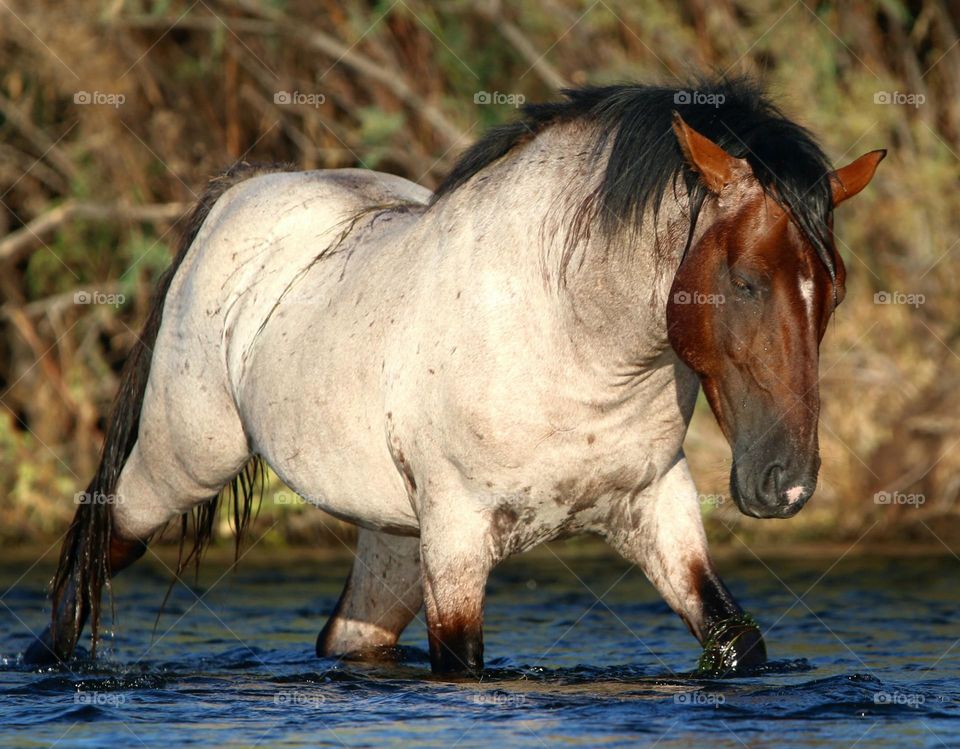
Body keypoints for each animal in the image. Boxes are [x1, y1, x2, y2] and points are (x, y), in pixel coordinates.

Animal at [24, 76, 883, 676]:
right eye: (744, 280)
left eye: (834, 288)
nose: (784, 484)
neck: (573, 342)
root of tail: (243, 189)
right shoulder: (462, 535)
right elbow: (462, 664)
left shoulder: (654, 506)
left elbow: (737, 641)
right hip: (184, 463)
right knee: (99, 545)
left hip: (392, 536)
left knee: (348, 638)